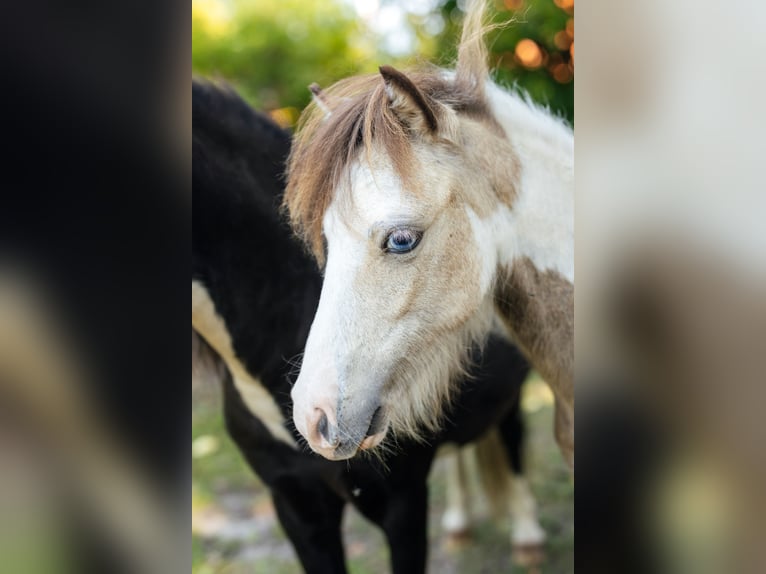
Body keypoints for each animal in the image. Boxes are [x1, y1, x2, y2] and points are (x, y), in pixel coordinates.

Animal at [191, 79, 546, 573]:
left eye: (400, 240)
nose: (317, 418)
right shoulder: (296, 506)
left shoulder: (401, 503)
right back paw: (459, 524)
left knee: (511, 437)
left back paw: (528, 536)